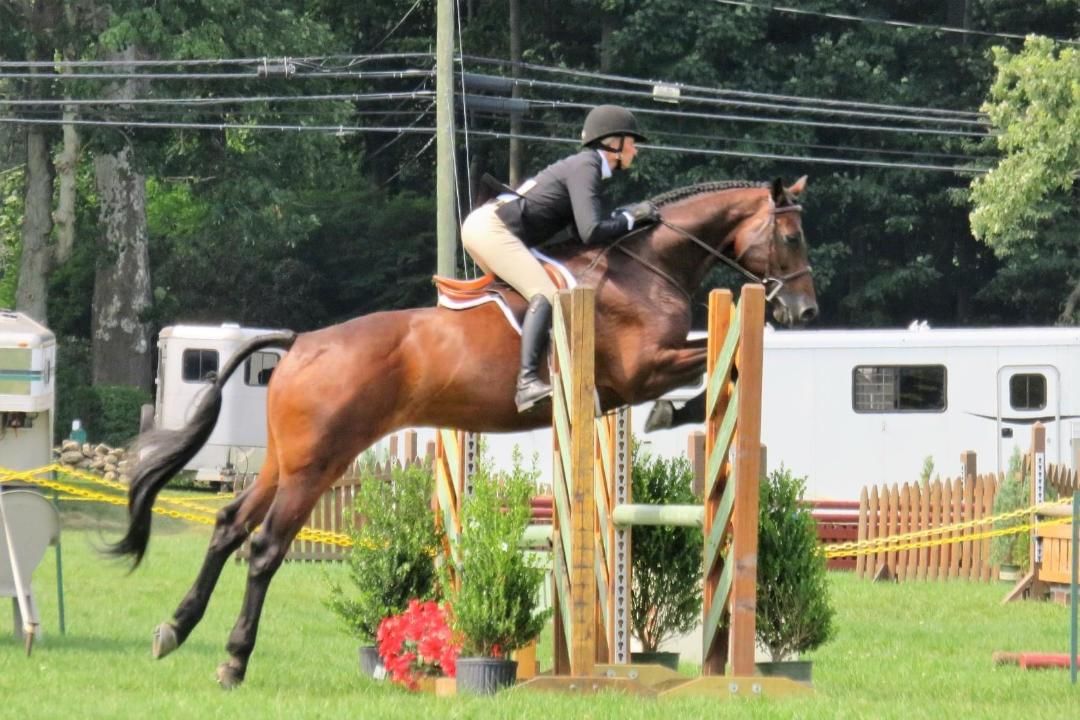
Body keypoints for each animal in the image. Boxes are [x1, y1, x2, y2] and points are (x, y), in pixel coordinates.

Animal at [109, 172, 816, 686]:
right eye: (791, 238)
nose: (803, 309)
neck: (646, 267)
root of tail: (302, 341)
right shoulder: (642, 368)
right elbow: (707, 362)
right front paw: (675, 409)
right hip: (318, 464)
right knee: (264, 548)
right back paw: (232, 661)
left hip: (286, 458)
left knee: (229, 525)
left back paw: (173, 631)